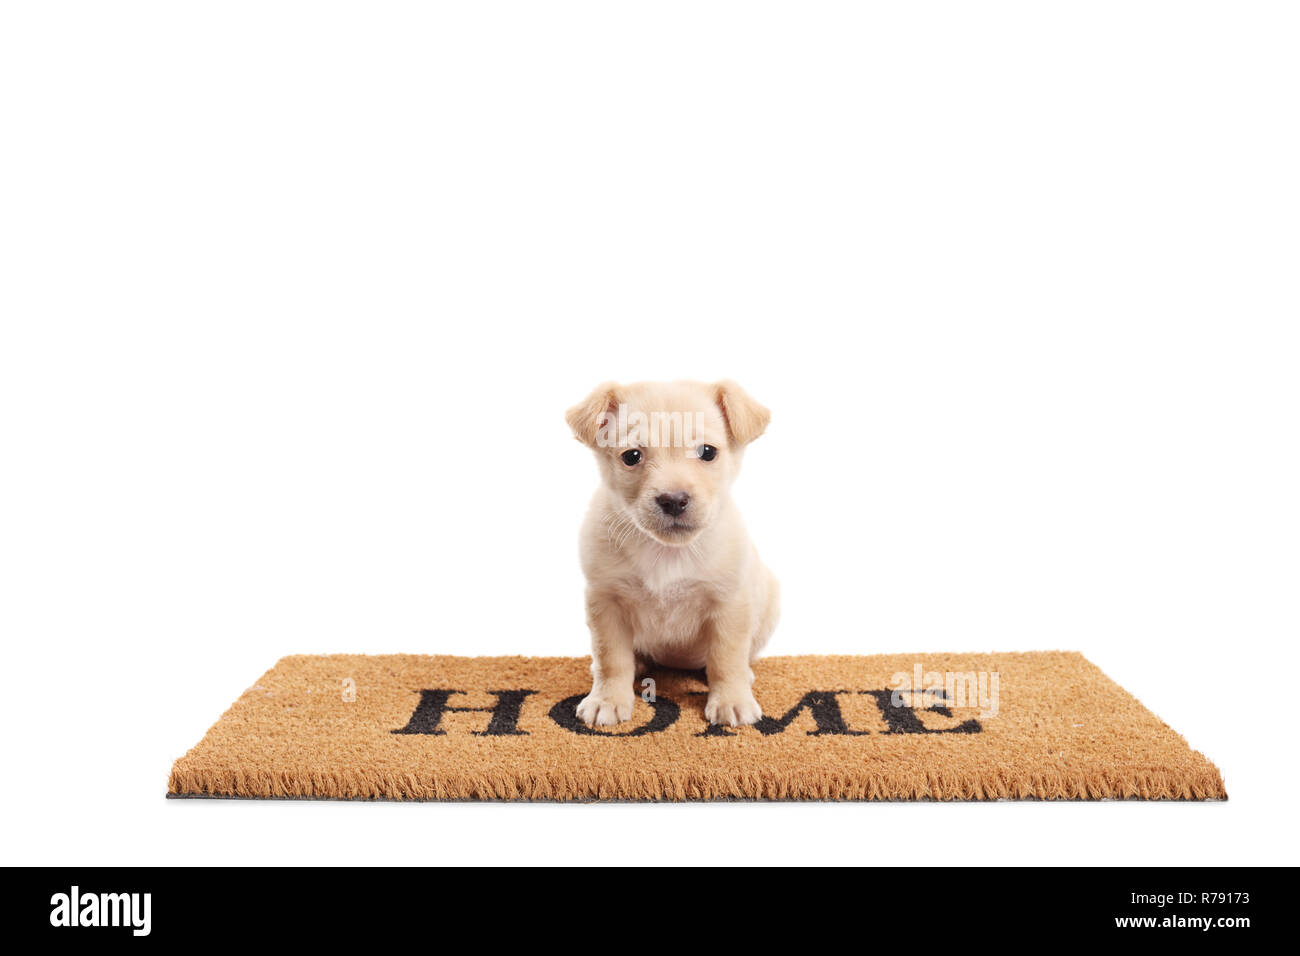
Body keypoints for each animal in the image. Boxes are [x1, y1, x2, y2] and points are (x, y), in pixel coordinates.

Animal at [564, 379, 774, 723]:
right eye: (632, 456)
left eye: (707, 452)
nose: (674, 500)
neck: (667, 553)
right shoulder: (606, 601)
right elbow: (611, 658)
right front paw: (608, 699)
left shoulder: (729, 604)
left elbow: (726, 657)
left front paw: (731, 699)